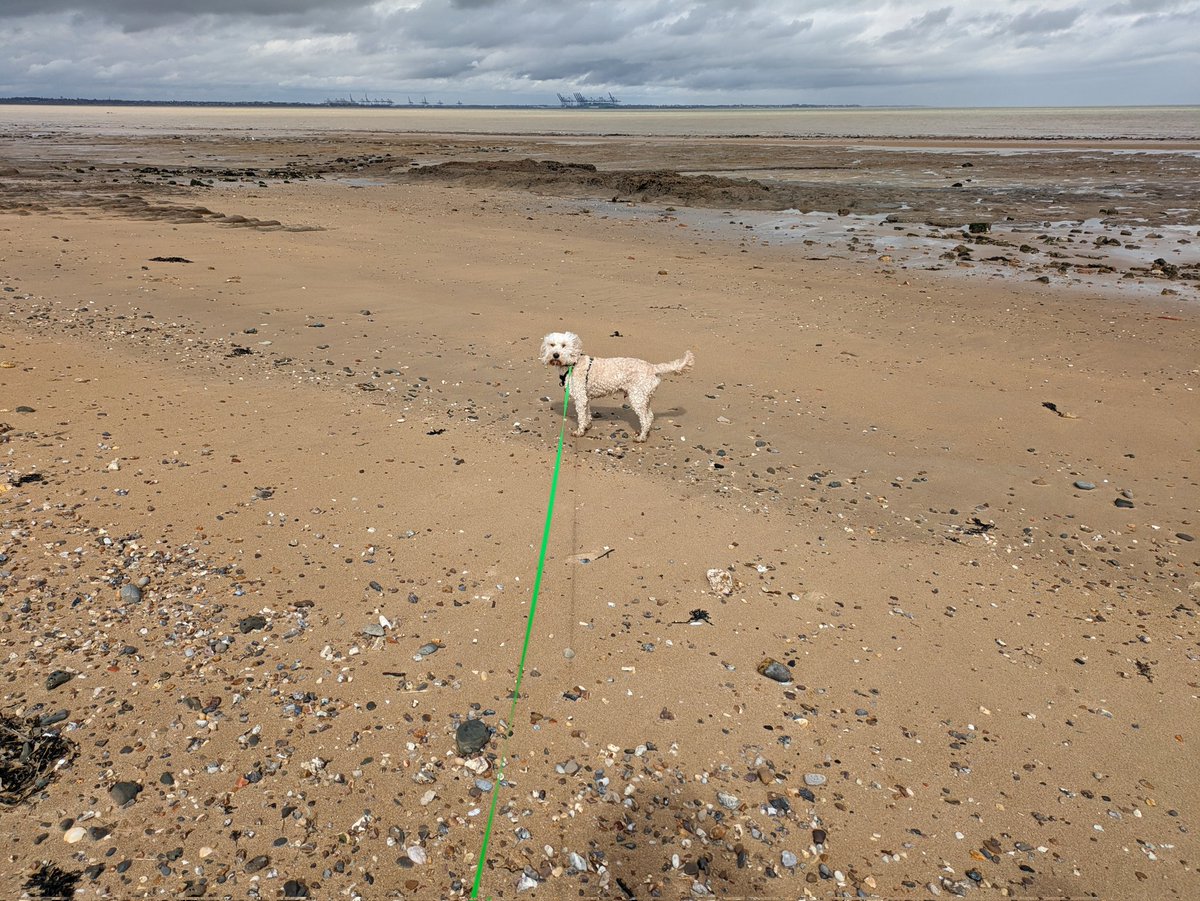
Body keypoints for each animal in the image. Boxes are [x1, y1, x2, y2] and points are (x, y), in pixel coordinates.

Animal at [542, 333, 700, 441]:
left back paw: (641, 437)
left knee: (645, 418)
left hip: (637, 397)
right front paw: (587, 426)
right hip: (644, 397)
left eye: (564, 345)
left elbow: (581, 416)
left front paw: (580, 431)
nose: (555, 355)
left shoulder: (580, 398)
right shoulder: (585, 398)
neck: (572, 364)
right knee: (650, 416)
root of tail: (653, 367)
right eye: (552, 345)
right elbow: (587, 414)